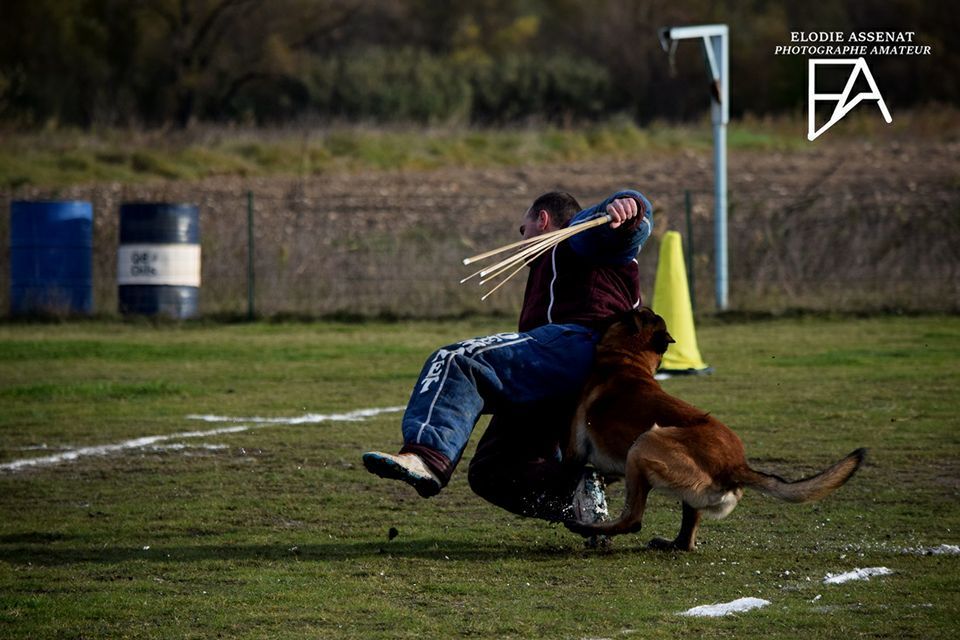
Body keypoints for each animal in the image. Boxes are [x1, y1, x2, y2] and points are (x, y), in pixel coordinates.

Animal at [568, 306, 868, 552]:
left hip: (645, 443)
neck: (628, 359)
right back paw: (668, 543)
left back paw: (584, 527)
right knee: (686, 539)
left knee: (633, 519)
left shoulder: (575, 450)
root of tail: (736, 465)